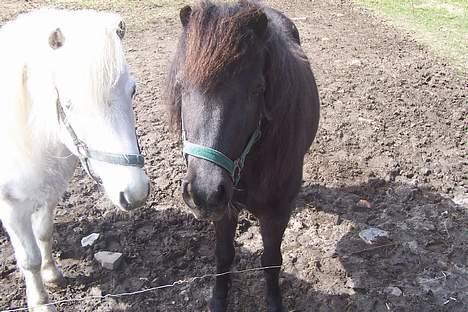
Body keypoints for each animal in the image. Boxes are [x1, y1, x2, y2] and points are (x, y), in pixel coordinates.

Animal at [0, 8, 150, 310]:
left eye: (133, 90)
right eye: (68, 103)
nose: (136, 193)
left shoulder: (51, 191)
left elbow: (44, 232)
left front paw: (51, 274)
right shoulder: (11, 208)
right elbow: (29, 259)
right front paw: (40, 302)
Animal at [166, 1, 320, 310]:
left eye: (257, 90)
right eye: (182, 86)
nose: (203, 192)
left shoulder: (277, 213)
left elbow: (271, 261)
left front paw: (274, 302)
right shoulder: (224, 210)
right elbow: (224, 256)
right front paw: (218, 300)